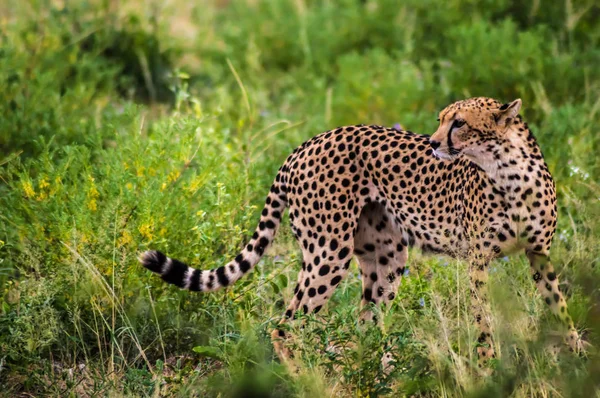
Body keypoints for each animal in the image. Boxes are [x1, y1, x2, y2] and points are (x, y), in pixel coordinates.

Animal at [141, 97, 580, 370]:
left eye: (459, 123)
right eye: (442, 119)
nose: (434, 143)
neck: (508, 170)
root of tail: (304, 144)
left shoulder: (539, 254)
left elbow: (559, 305)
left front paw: (577, 354)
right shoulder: (477, 260)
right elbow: (484, 317)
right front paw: (489, 365)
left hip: (387, 256)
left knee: (366, 321)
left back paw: (382, 371)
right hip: (328, 249)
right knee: (286, 326)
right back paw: (309, 379)